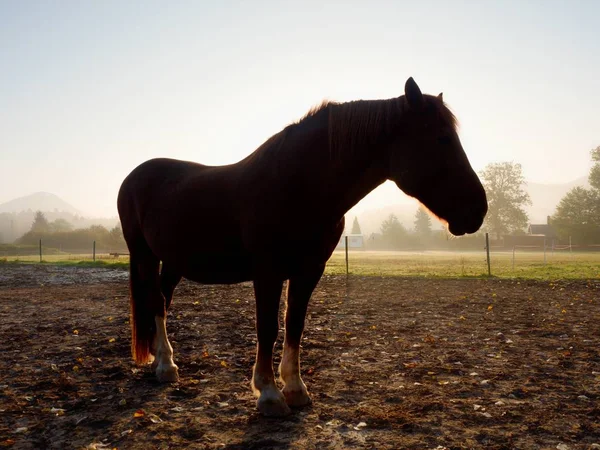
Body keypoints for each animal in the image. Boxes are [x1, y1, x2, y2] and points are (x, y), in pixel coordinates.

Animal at [116, 78, 488, 418]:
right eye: (441, 138)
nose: (478, 210)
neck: (299, 185)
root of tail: (135, 177)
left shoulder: (309, 270)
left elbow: (294, 324)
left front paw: (295, 389)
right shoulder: (267, 272)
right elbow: (267, 327)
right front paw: (268, 394)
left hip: (173, 261)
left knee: (162, 301)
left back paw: (161, 359)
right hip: (144, 255)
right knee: (156, 302)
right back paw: (166, 366)